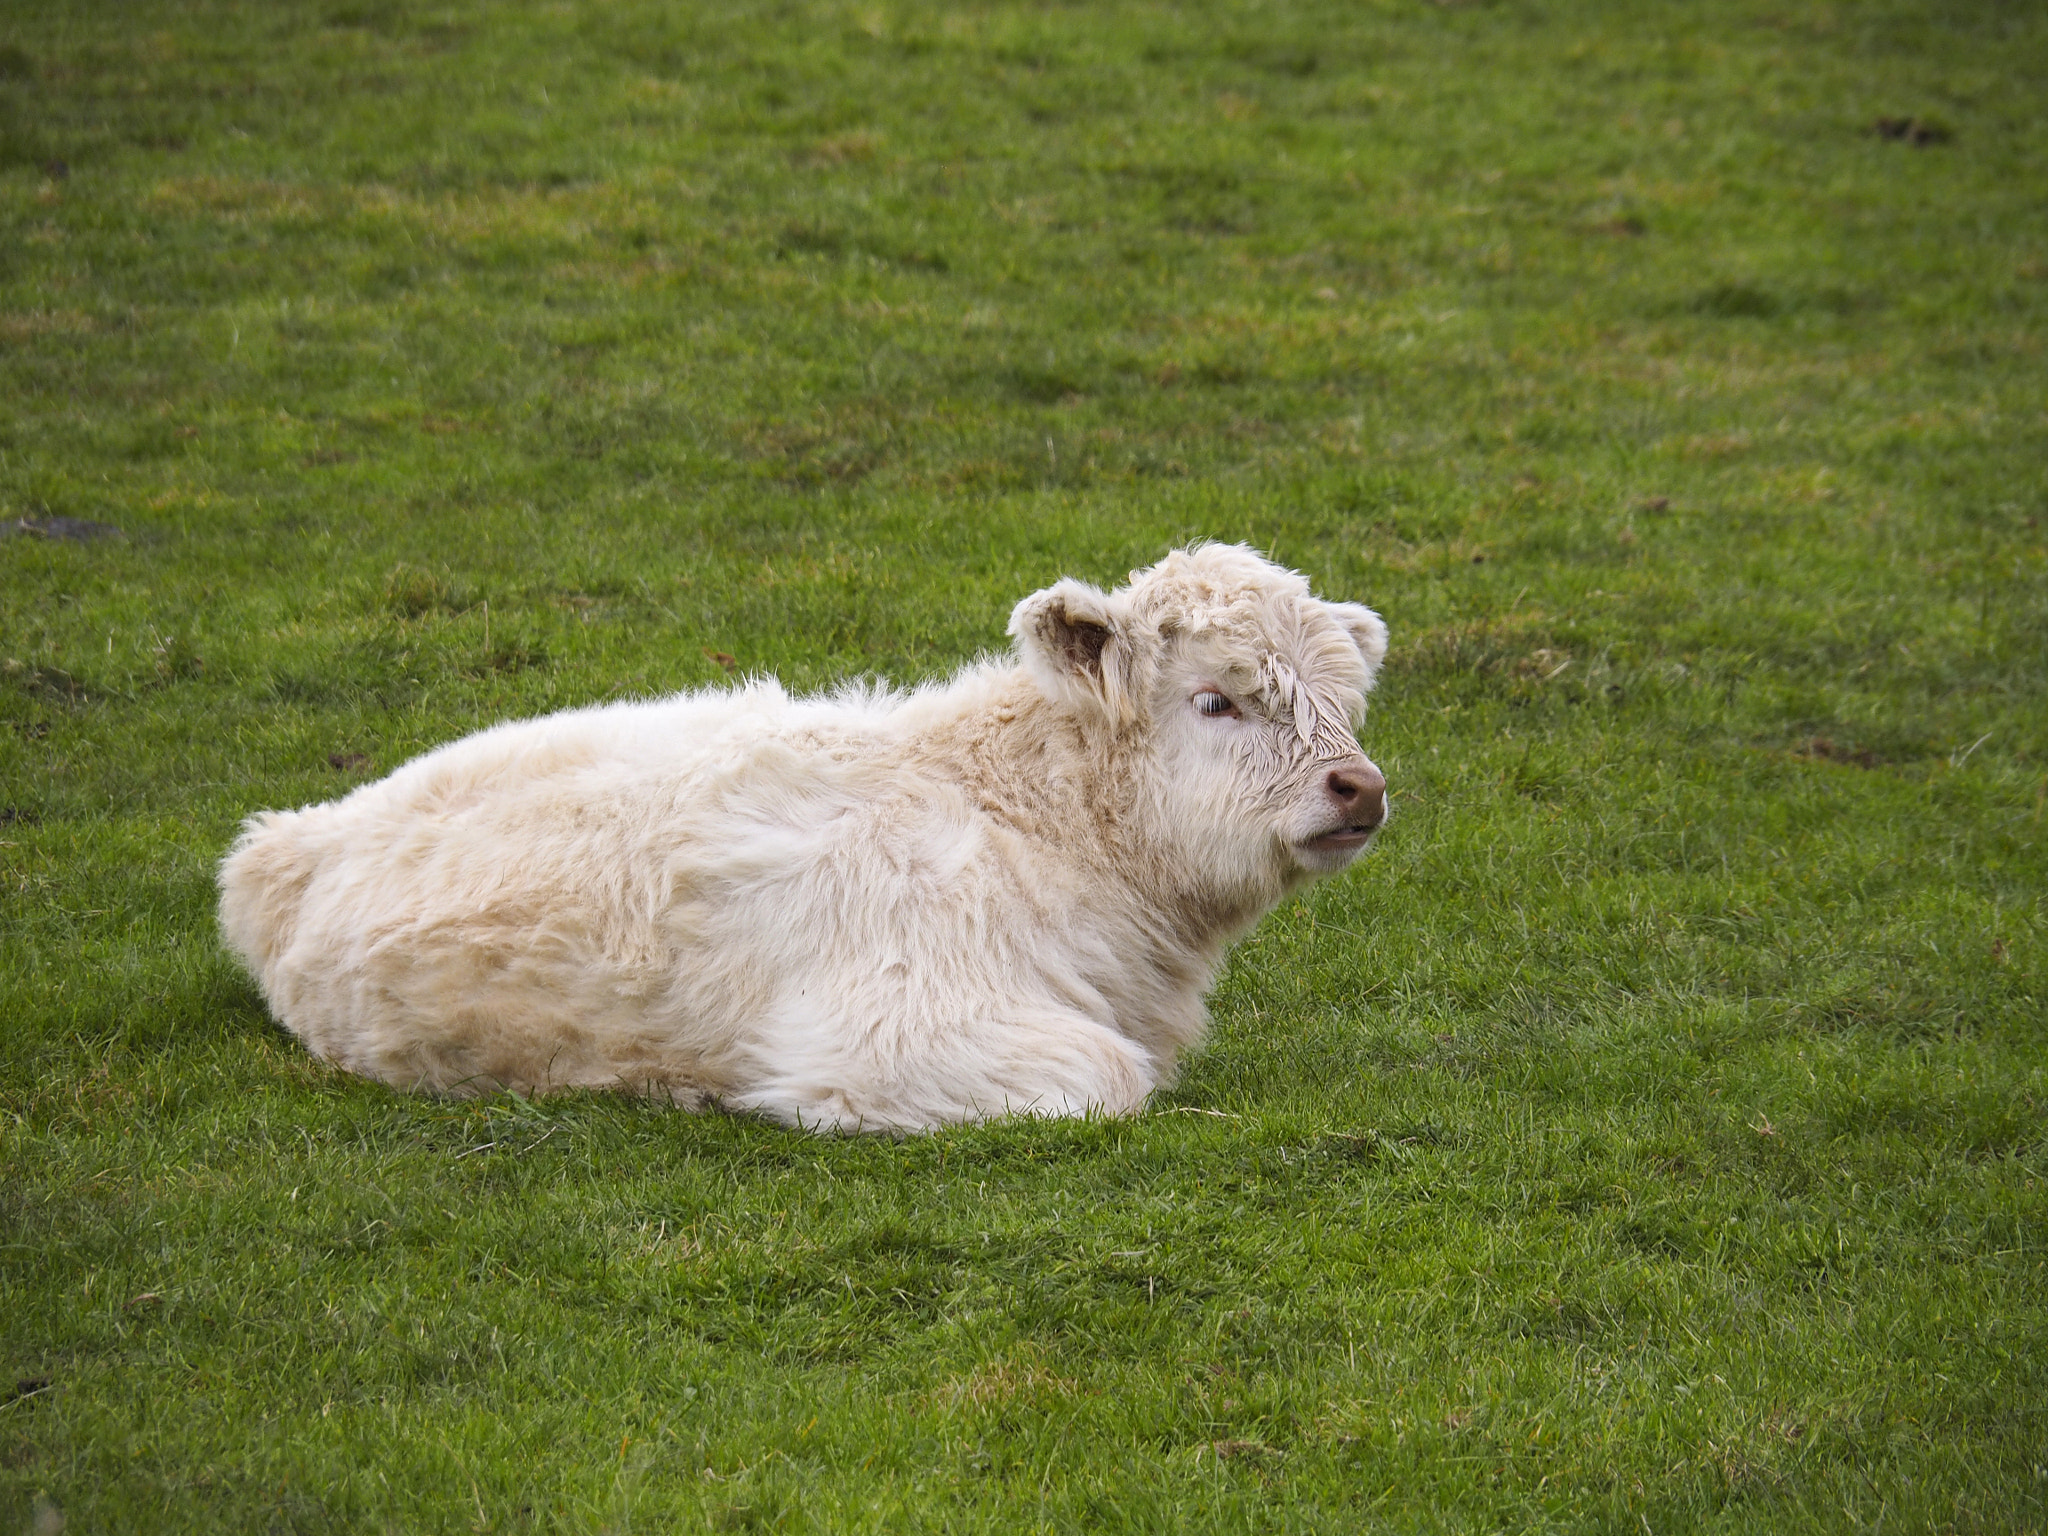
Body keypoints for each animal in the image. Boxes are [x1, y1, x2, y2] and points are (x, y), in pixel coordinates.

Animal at [218, 543, 1390, 1131]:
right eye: (1215, 700)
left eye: (1344, 702)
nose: (1360, 787)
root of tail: (286, 843)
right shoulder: (897, 1028)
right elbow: (1108, 1079)